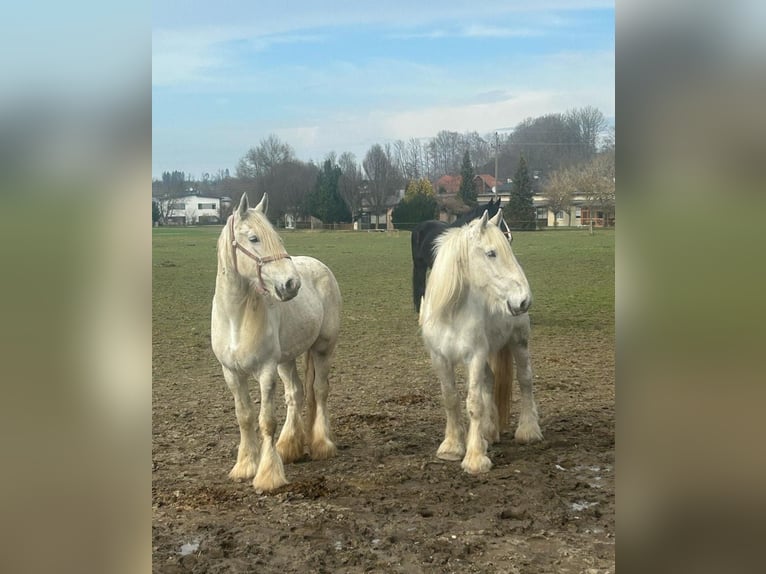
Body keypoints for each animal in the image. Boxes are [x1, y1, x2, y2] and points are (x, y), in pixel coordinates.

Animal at [211, 192, 342, 492]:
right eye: (253, 238)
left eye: (277, 237)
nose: (291, 284)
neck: (236, 317)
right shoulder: (231, 373)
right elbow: (245, 417)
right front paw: (245, 466)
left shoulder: (266, 371)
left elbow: (266, 421)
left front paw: (268, 475)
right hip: (287, 359)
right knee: (295, 393)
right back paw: (289, 447)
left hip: (322, 349)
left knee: (320, 390)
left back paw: (322, 444)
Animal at [419, 209, 542, 475]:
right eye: (491, 253)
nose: (524, 299)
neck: (451, 313)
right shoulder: (440, 358)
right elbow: (451, 398)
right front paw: (452, 447)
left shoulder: (474, 356)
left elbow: (473, 402)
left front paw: (475, 458)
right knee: (490, 380)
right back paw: (489, 432)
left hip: (519, 342)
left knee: (525, 380)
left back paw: (528, 430)